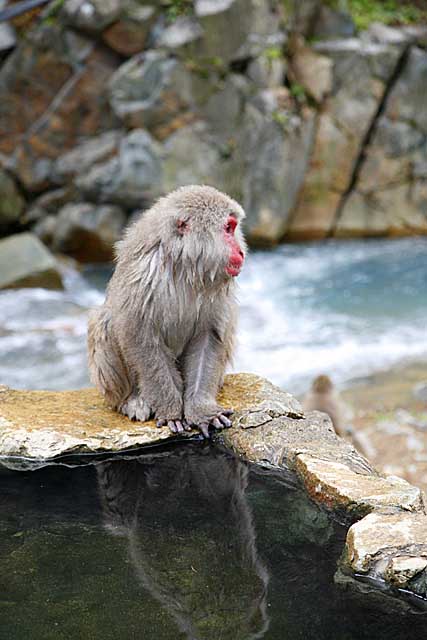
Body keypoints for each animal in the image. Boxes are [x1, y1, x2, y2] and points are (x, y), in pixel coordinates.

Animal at [88, 182, 247, 438]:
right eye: (228, 228)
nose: (241, 251)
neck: (184, 265)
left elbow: (209, 337)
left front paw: (201, 410)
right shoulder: (144, 275)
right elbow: (141, 338)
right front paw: (171, 411)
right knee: (103, 321)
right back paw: (131, 400)